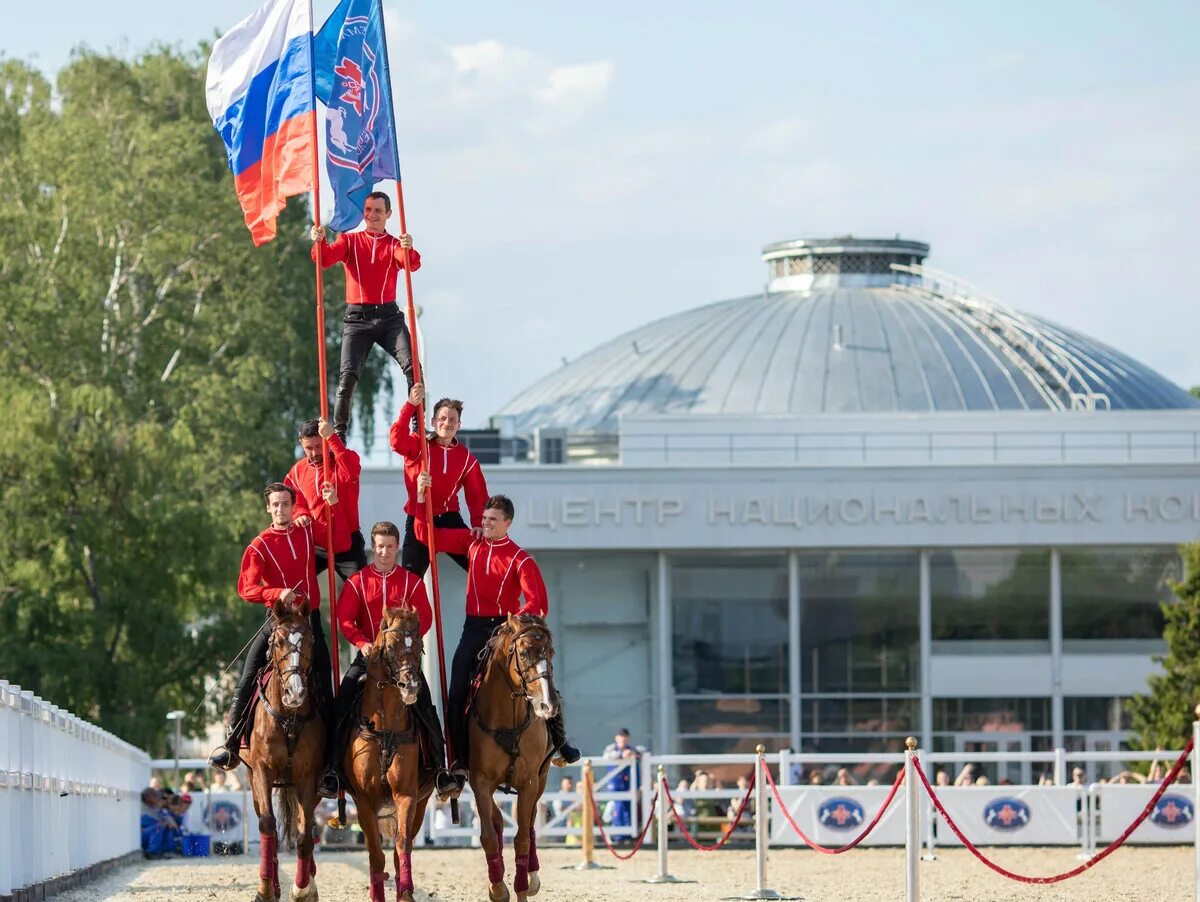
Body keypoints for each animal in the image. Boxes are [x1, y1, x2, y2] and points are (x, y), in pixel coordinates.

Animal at [243, 606, 324, 902]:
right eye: (277, 642)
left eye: (310, 643)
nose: (295, 692)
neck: (289, 717)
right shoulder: (262, 772)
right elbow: (268, 825)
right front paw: (266, 890)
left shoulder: (308, 778)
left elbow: (303, 832)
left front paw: (302, 889)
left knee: (307, 829)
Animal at [343, 606, 436, 902]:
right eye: (392, 645)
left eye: (418, 645)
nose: (410, 686)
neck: (385, 728)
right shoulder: (364, 801)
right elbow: (375, 854)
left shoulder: (406, 796)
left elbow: (402, 845)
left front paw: (405, 891)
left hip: (420, 804)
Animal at [470, 614, 559, 902]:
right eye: (522, 652)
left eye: (550, 652)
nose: (547, 705)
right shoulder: (480, 782)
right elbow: (488, 835)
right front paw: (497, 888)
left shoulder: (529, 782)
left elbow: (521, 838)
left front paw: (522, 886)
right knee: (498, 822)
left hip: (542, 778)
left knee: (529, 824)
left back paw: (532, 878)